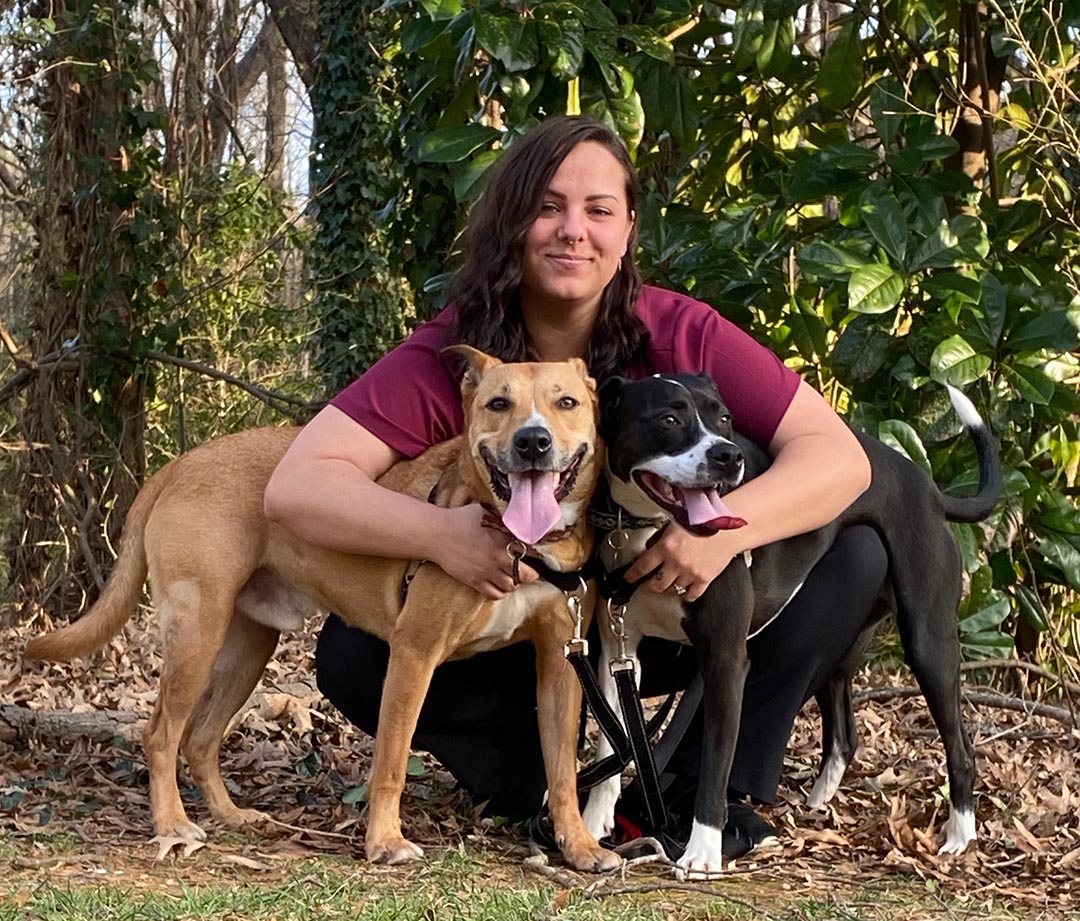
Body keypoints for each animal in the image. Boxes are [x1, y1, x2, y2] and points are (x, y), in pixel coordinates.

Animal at [23, 347, 617, 868]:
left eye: (566, 402)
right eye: (498, 403)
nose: (533, 442)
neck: (522, 544)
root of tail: (178, 466)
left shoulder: (561, 664)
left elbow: (562, 771)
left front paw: (579, 846)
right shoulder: (414, 653)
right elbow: (392, 760)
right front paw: (384, 841)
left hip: (246, 647)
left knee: (200, 737)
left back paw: (232, 816)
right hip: (198, 633)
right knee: (162, 735)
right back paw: (172, 825)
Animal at [583, 373, 1002, 876]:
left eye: (724, 418)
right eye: (668, 418)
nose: (728, 456)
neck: (649, 529)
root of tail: (930, 490)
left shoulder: (725, 662)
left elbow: (714, 766)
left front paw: (702, 852)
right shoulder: (618, 652)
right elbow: (612, 744)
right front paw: (590, 825)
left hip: (928, 642)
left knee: (961, 748)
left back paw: (960, 835)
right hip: (845, 658)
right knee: (844, 736)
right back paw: (818, 806)